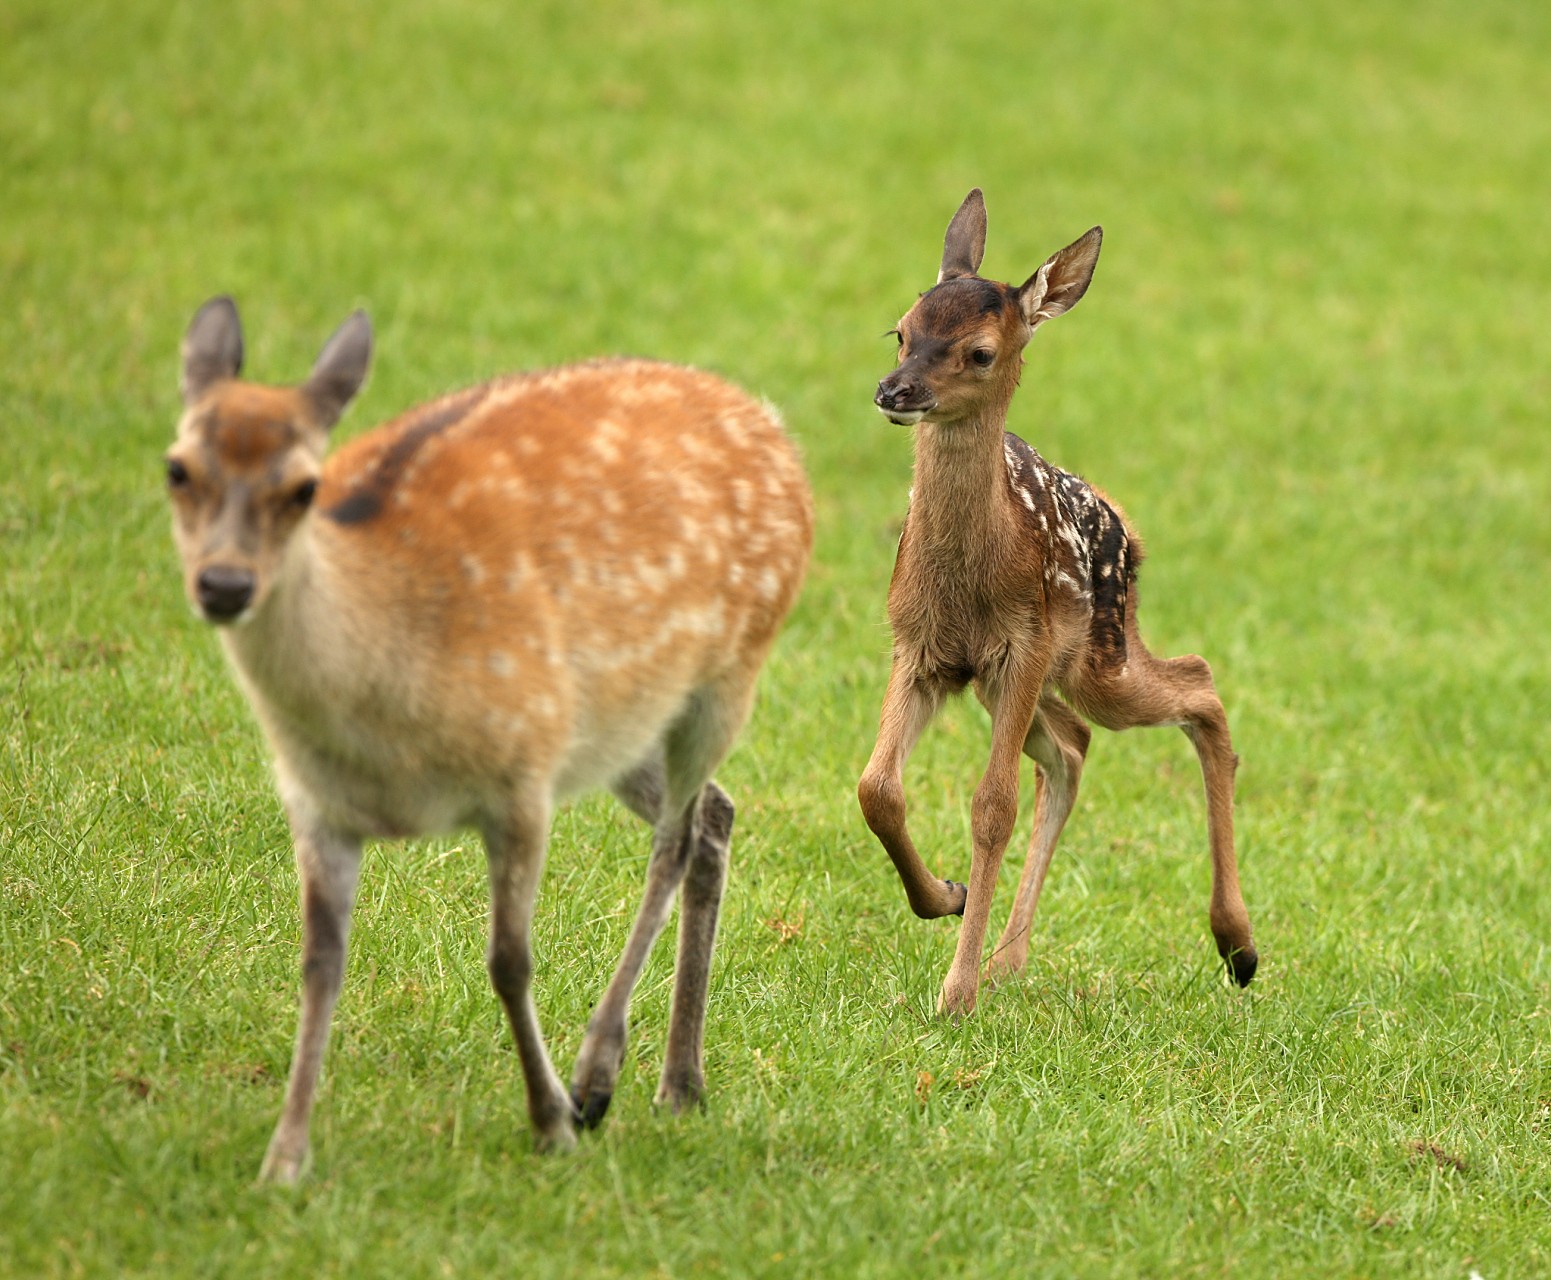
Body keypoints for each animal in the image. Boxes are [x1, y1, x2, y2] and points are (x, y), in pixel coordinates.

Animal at [165, 296, 812, 1182]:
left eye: (304, 487)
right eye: (177, 469)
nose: (225, 584)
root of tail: (774, 427)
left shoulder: (520, 768)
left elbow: (509, 958)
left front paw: (551, 1121)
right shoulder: (313, 799)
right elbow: (319, 963)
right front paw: (283, 1160)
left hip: (726, 676)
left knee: (676, 840)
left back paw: (599, 1077)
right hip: (622, 723)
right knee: (715, 813)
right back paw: (680, 1084)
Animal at [856, 190, 1256, 1016]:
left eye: (980, 352)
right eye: (901, 330)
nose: (893, 390)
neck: (970, 576)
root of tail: (1126, 528)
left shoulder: (1021, 642)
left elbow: (991, 806)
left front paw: (954, 994)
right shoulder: (918, 645)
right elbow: (876, 788)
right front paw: (943, 898)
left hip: (1092, 654)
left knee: (1196, 682)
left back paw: (1237, 945)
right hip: (1017, 677)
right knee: (1072, 745)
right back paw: (1009, 961)